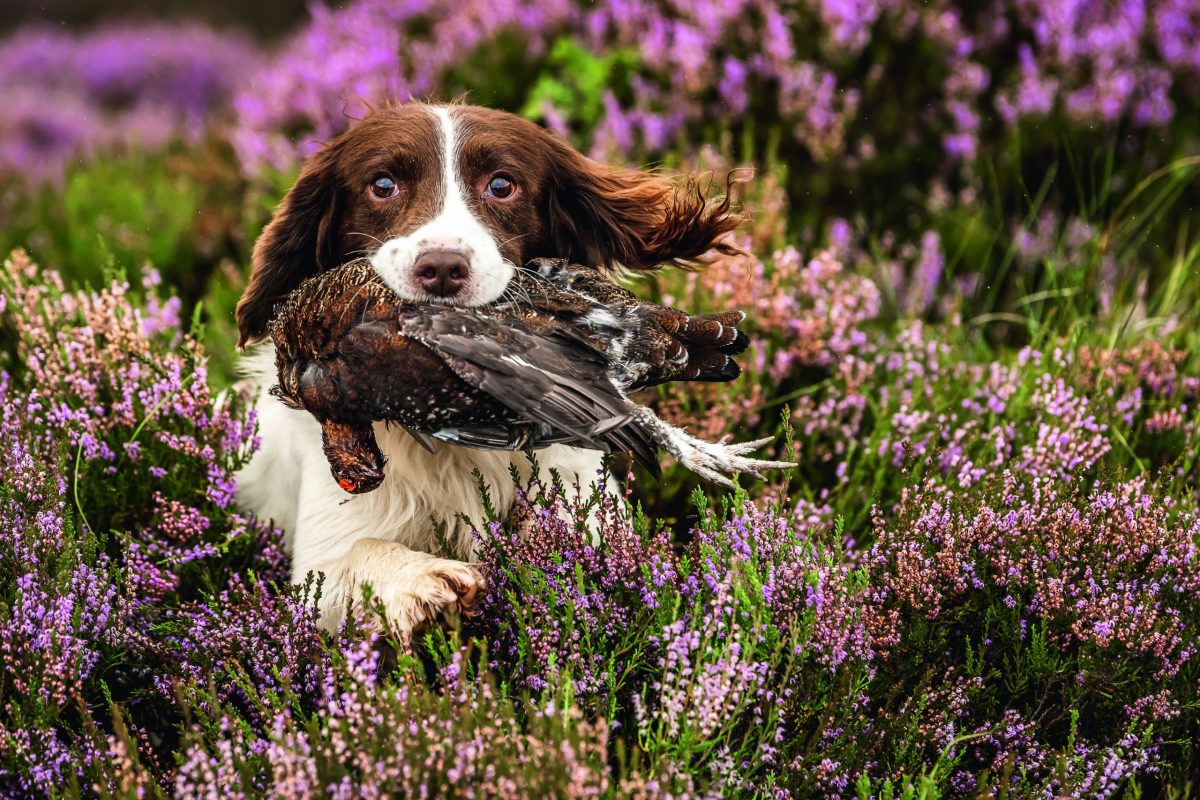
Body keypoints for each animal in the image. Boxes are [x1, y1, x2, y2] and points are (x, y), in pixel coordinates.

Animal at [234, 103, 739, 633]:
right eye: (383, 184)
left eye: (501, 184)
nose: (441, 268)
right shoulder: (317, 566)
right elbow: (360, 551)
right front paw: (424, 582)